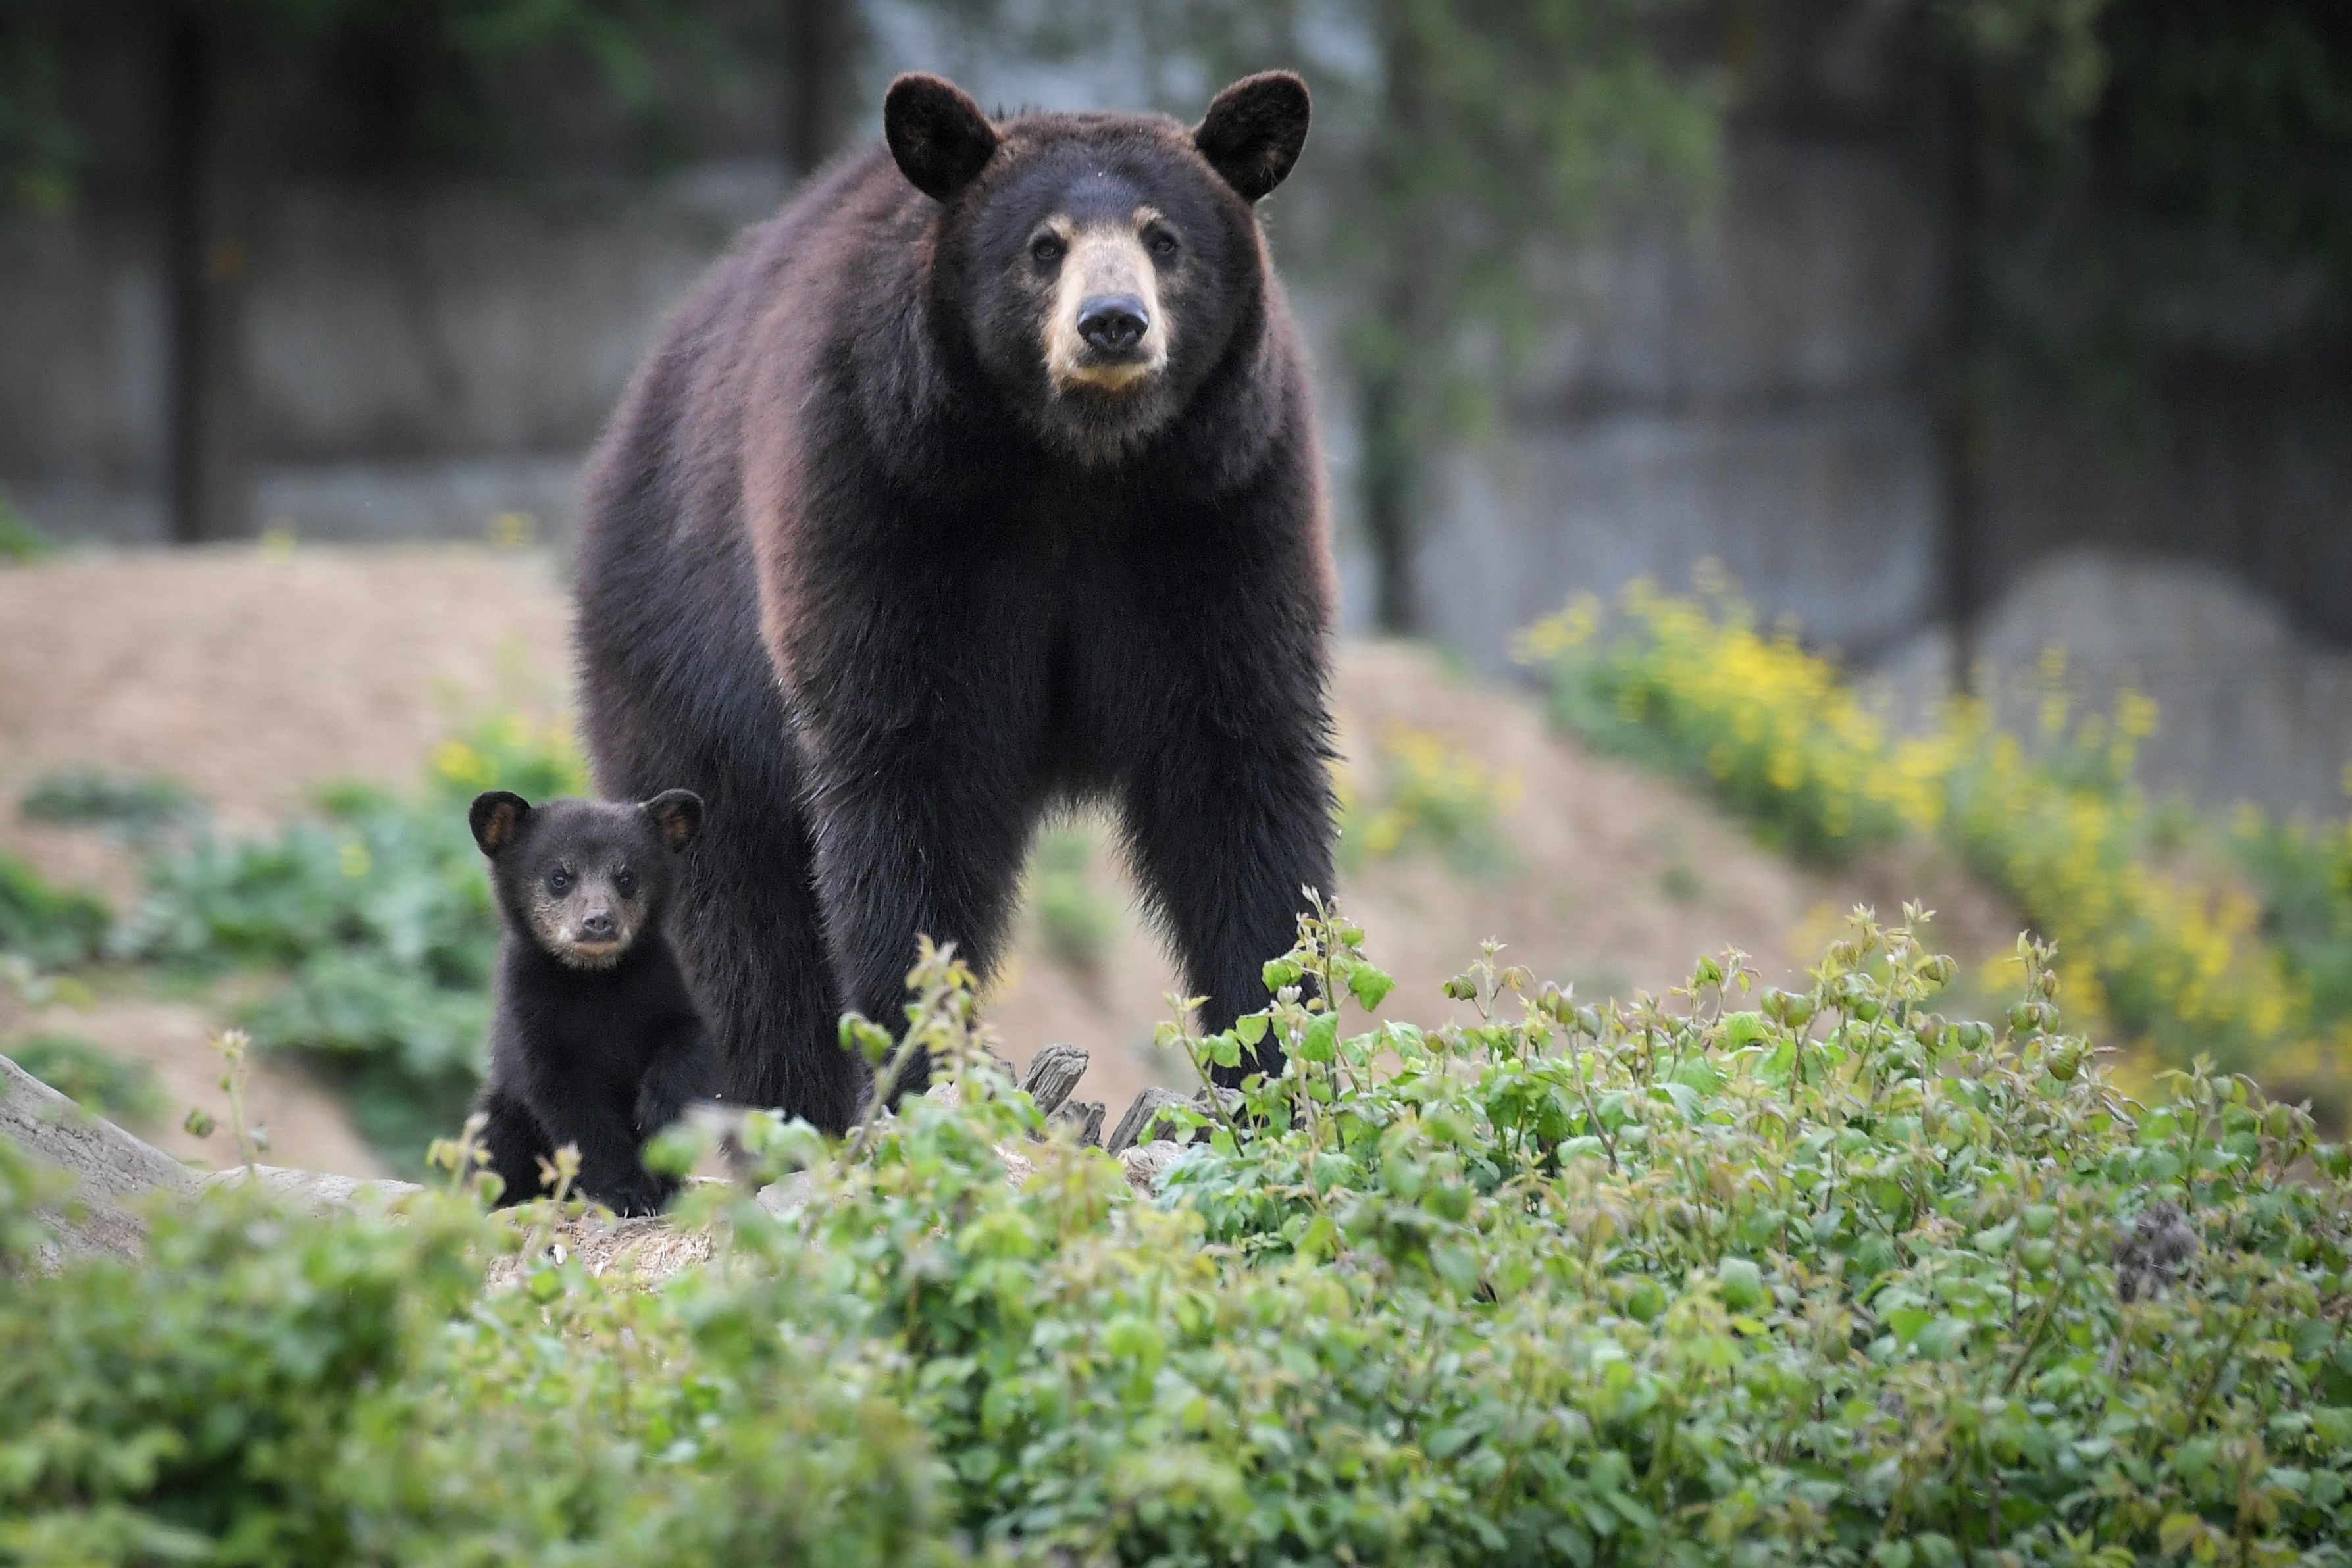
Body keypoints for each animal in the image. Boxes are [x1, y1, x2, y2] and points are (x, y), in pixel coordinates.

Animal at [576, 73, 1336, 1133]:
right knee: (739, 916)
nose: (1112, 322)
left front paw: (1278, 1061)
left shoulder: (1224, 501)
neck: (1075, 464)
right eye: (1044, 245)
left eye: (1164, 238)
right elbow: (909, 773)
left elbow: (1239, 765)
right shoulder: (887, 492)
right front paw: (917, 1063)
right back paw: (768, 1102)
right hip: (680, 657)